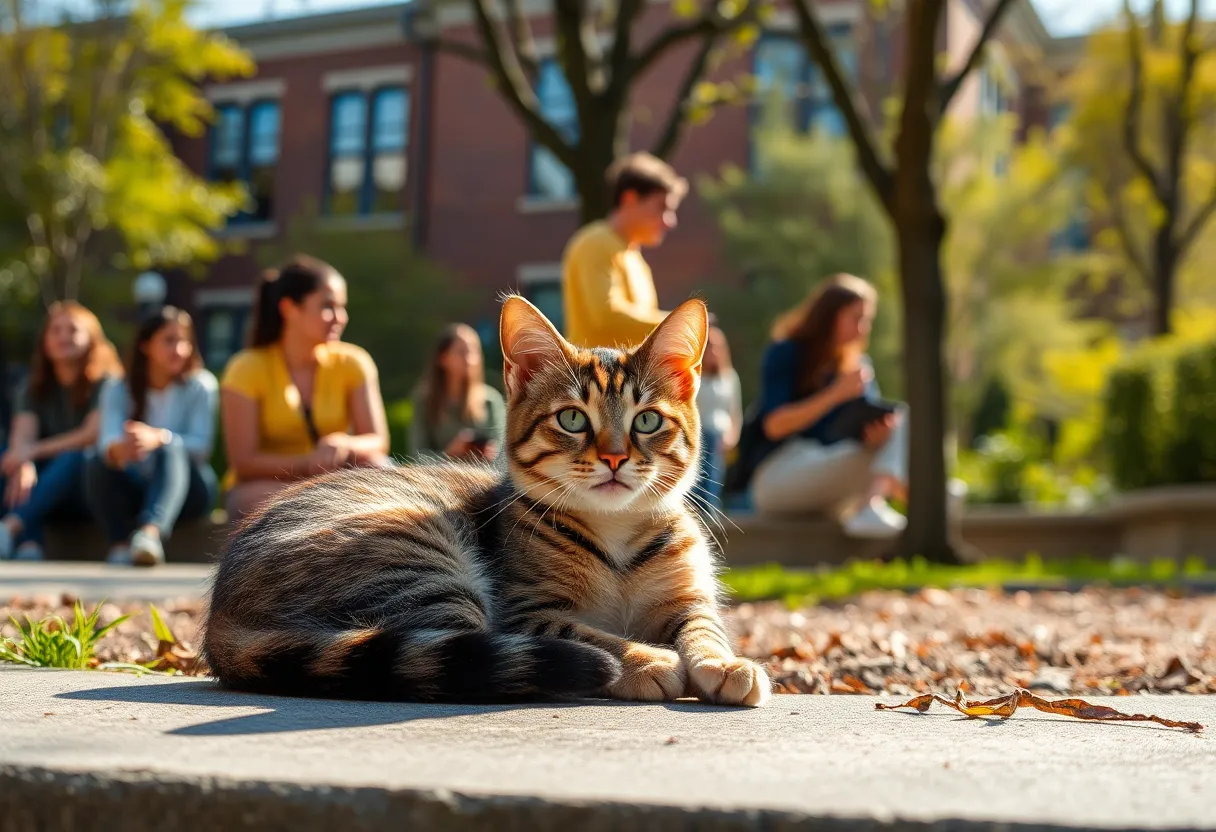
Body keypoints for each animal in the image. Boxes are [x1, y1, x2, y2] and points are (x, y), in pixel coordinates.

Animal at [199, 295, 768, 705]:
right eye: (572, 418)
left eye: (646, 420)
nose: (613, 457)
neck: (616, 536)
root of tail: (222, 618)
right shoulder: (526, 611)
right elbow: (585, 633)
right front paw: (646, 659)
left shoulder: (688, 598)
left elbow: (705, 629)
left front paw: (723, 663)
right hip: (422, 564)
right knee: (463, 658)